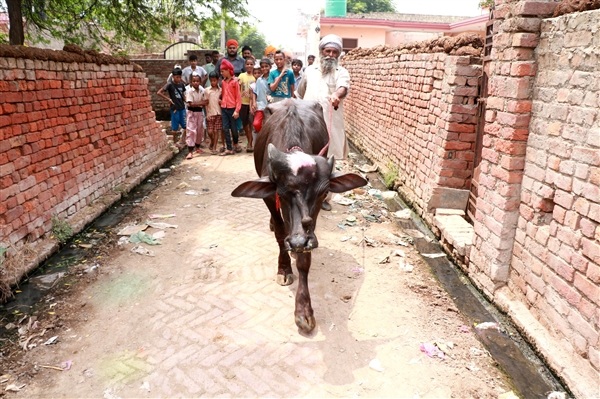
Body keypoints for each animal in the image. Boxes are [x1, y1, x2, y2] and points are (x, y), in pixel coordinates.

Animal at [233, 100, 366, 334]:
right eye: (281, 192)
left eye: (323, 192)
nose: (297, 241)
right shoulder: (269, 198)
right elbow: (280, 234)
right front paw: (284, 268)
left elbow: (305, 259)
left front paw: (304, 311)